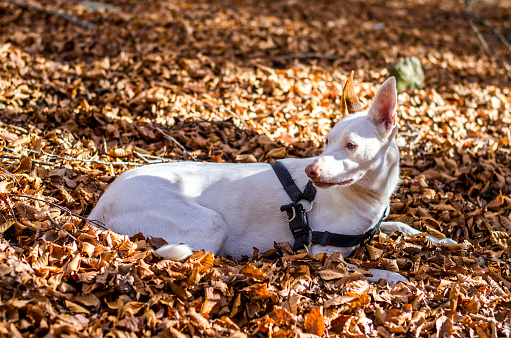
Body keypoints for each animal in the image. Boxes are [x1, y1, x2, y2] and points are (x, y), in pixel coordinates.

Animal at [89, 75, 452, 284]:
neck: (367, 197)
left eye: (350, 145)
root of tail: (100, 205)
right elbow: (373, 270)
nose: (311, 171)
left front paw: (444, 240)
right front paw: (398, 277)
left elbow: (404, 226)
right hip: (209, 224)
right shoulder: (322, 255)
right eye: (326, 141)